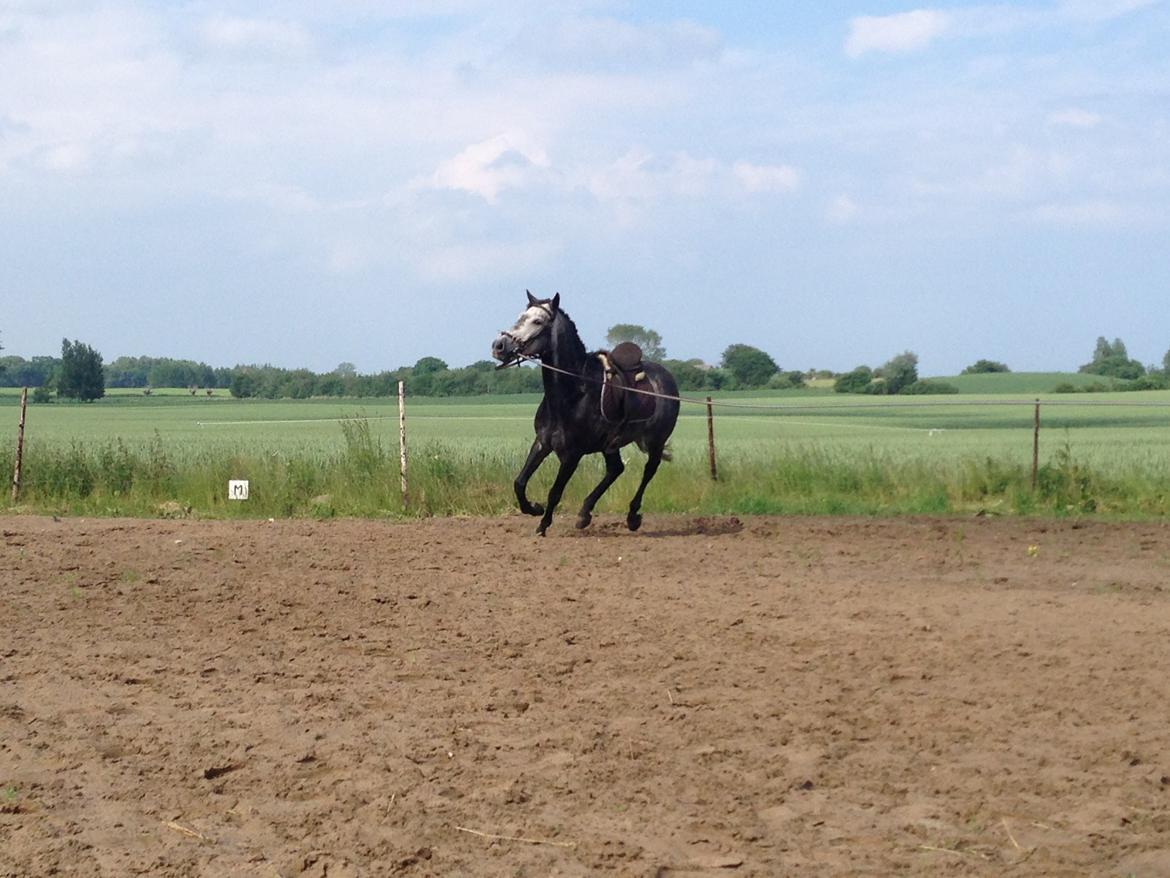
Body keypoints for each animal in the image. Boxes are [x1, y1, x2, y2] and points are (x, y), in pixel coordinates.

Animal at [489, 292, 683, 536]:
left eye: (538, 321)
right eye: (520, 316)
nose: (499, 346)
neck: (573, 393)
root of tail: (667, 377)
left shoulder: (572, 455)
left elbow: (555, 492)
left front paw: (543, 525)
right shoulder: (542, 443)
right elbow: (519, 482)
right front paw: (534, 508)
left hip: (656, 441)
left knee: (649, 470)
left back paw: (632, 516)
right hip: (611, 444)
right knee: (615, 469)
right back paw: (584, 513)